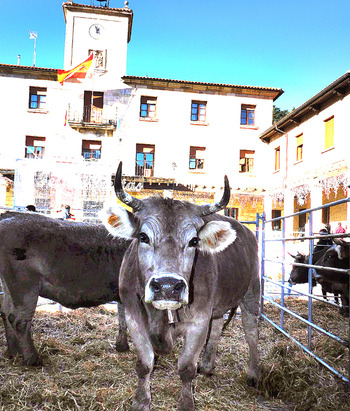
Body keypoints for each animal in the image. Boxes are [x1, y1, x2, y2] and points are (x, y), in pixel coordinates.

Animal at [0, 212, 130, 366]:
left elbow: (123, 319)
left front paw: (122, 346)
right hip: (25, 286)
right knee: (19, 320)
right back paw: (33, 359)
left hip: (10, 286)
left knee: (5, 313)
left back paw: (14, 353)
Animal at [100, 164, 260, 411]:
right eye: (143, 236)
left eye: (194, 241)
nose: (167, 286)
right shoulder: (133, 316)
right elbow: (144, 363)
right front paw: (141, 401)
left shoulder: (198, 321)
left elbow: (186, 368)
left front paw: (186, 403)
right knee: (217, 329)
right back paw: (207, 365)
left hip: (252, 292)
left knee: (251, 332)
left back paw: (253, 375)